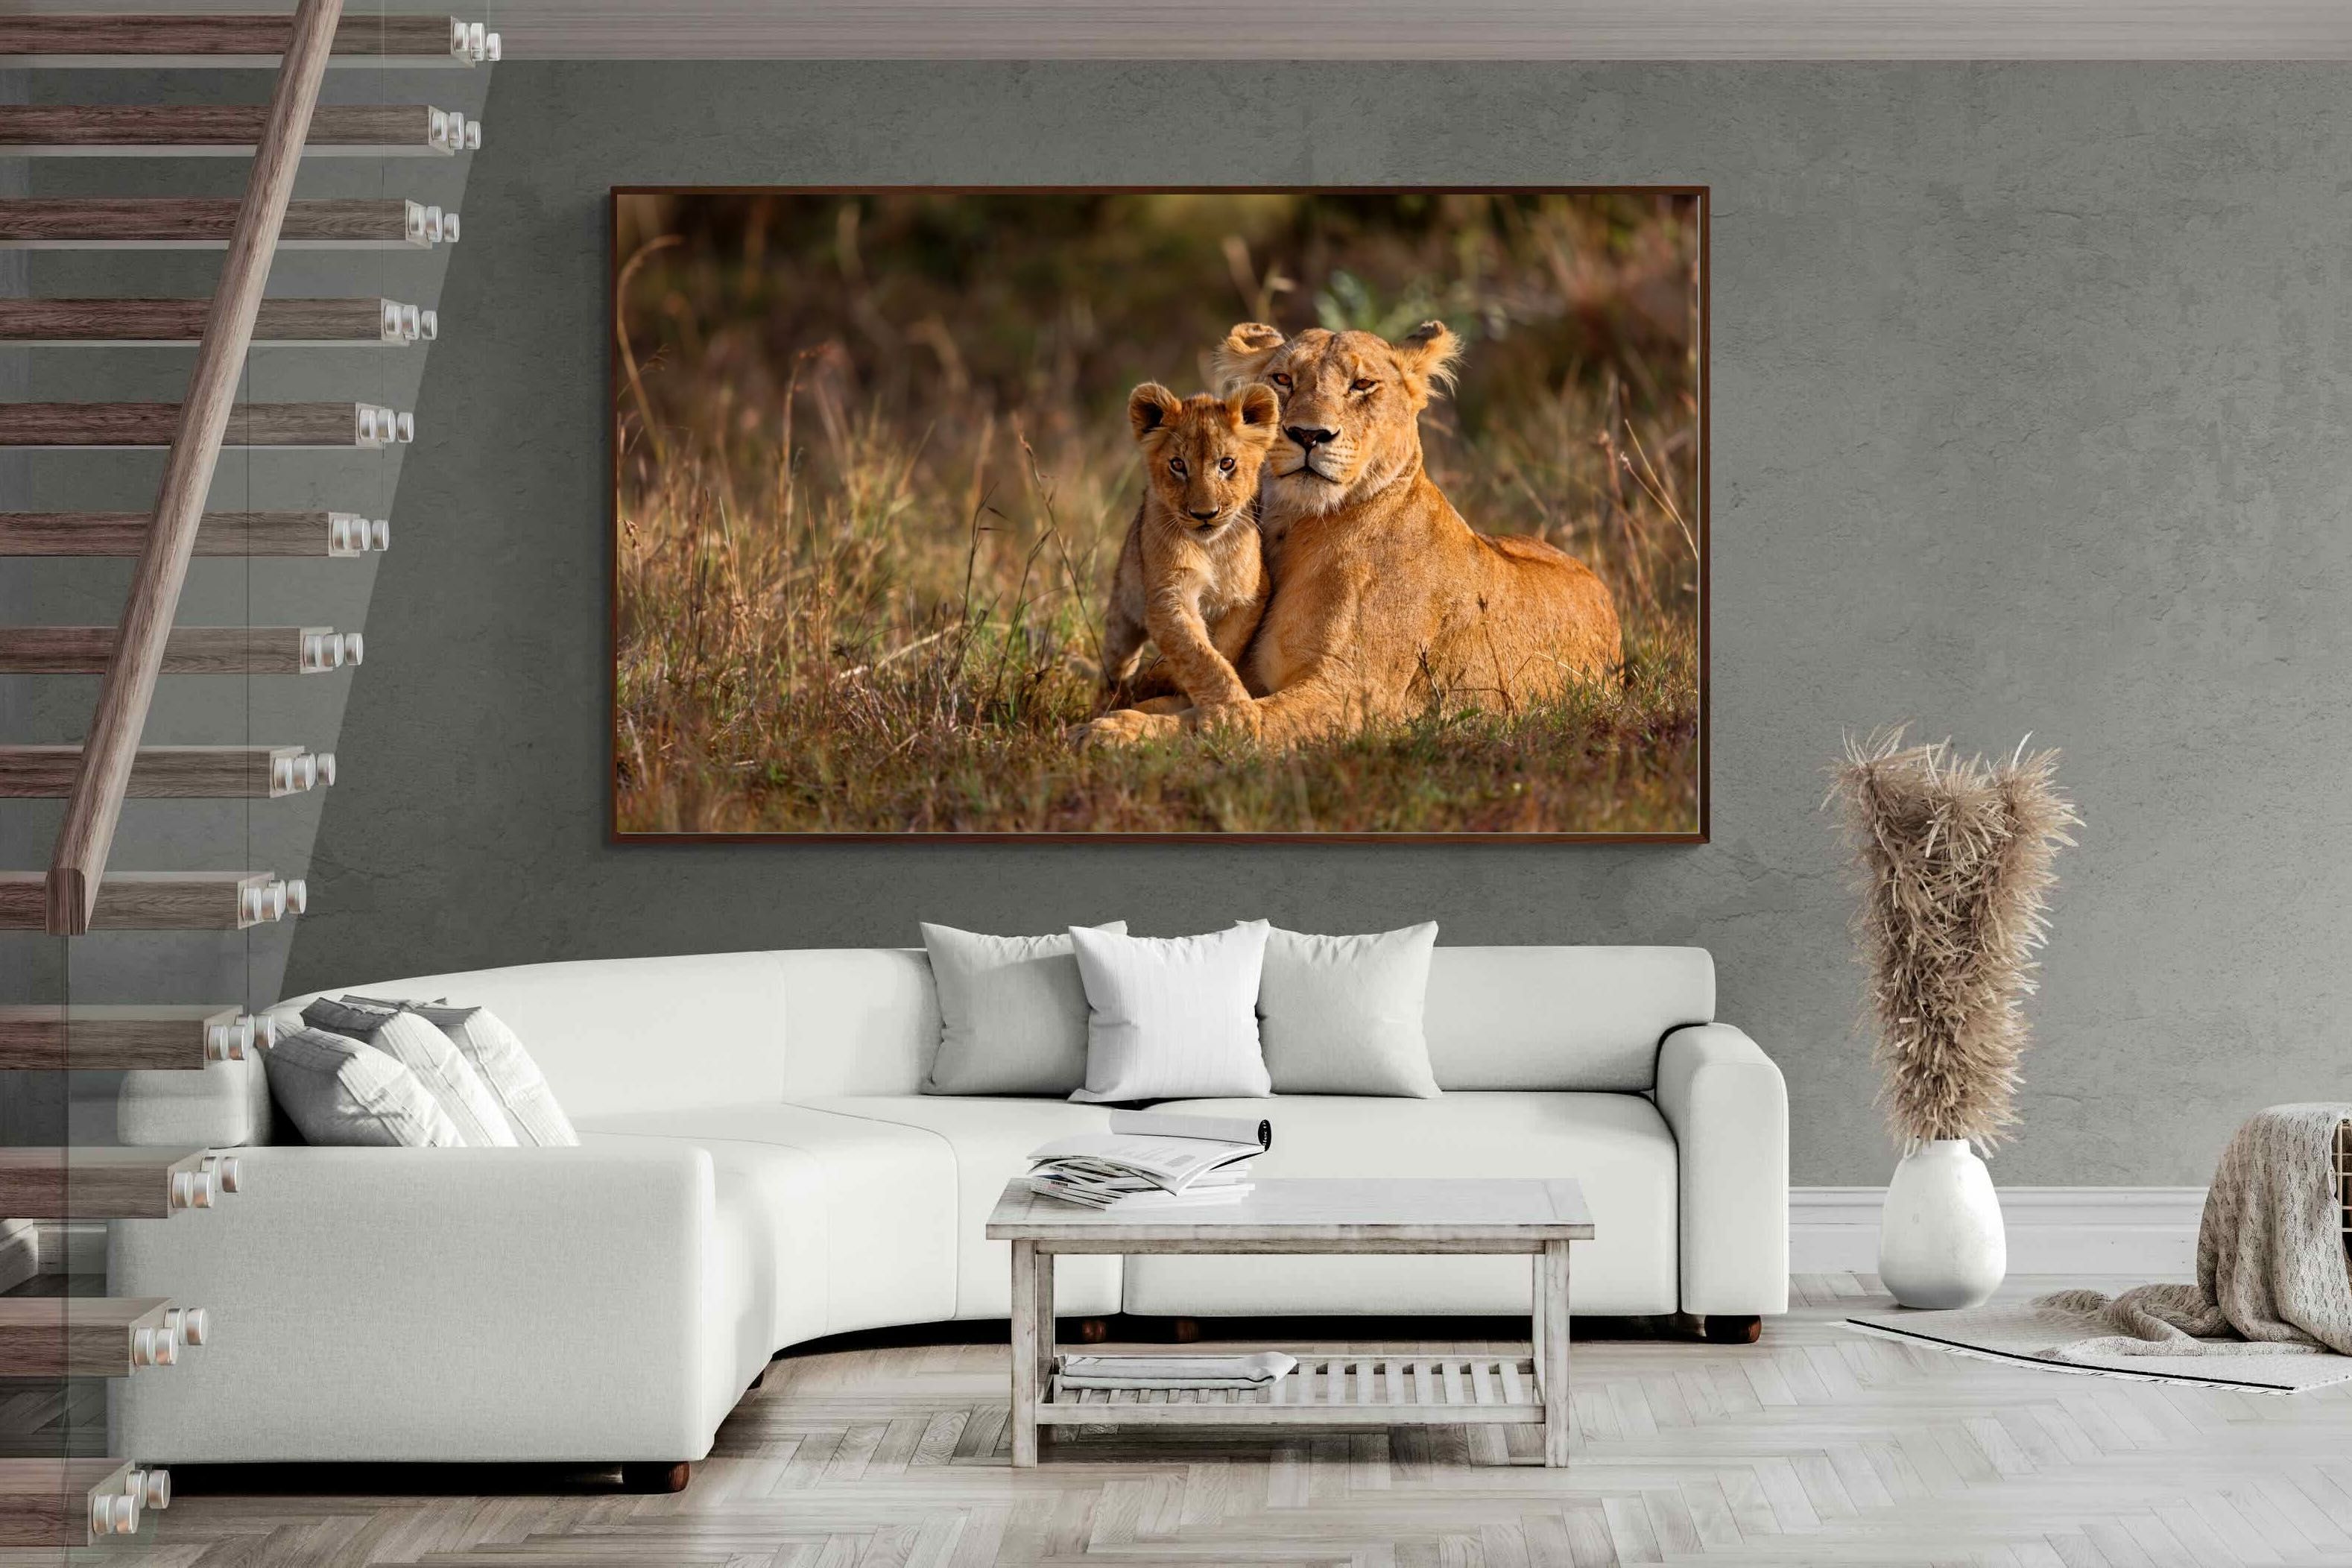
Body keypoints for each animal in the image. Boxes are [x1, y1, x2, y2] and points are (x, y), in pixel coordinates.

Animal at [1097, 381, 1280, 714]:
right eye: (1178, 465)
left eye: (1226, 464)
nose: (1204, 514)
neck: (1211, 548)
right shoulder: (1168, 597)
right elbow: (1199, 655)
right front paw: (1235, 712)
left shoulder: (1250, 596)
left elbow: (1222, 648)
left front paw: (1162, 680)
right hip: (1122, 614)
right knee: (1115, 666)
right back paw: (1110, 701)